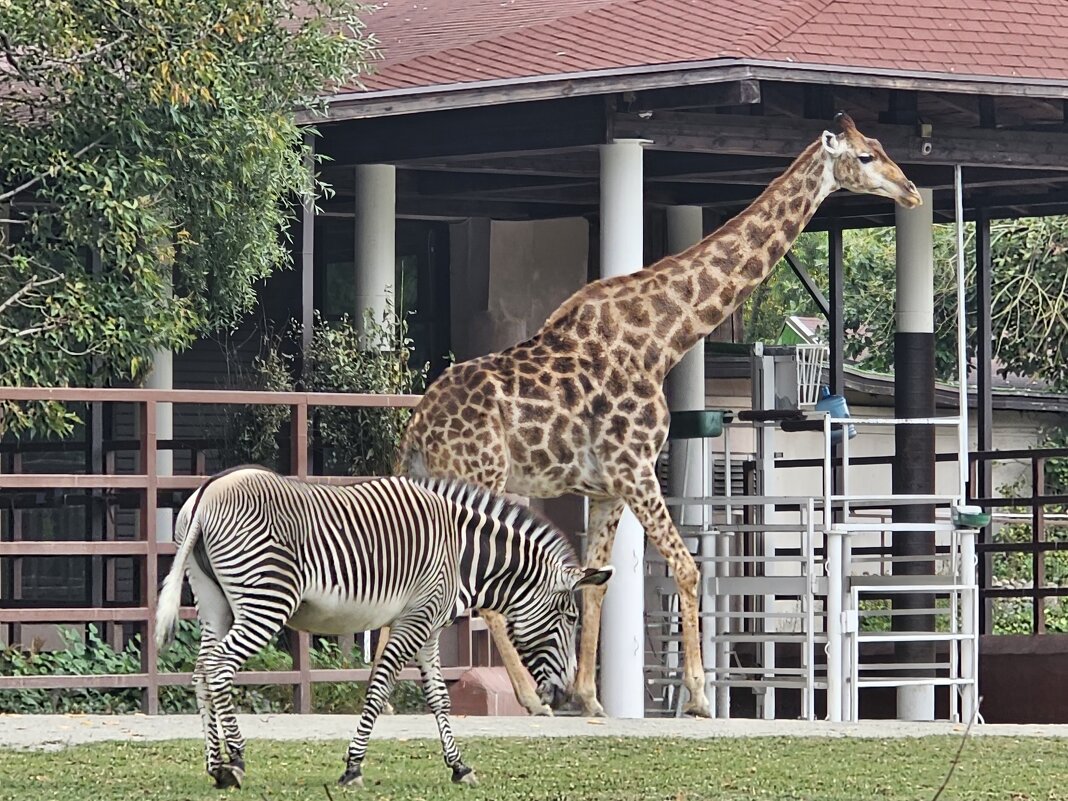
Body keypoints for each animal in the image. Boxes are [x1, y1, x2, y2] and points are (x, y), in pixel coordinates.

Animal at [154, 467, 615, 786]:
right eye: (570, 618)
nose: (563, 693)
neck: (461, 554)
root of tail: (208, 493)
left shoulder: (430, 628)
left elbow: (439, 699)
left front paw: (459, 766)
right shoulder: (415, 619)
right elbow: (378, 690)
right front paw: (353, 767)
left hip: (216, 603)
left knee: (201, 671)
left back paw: (215, 766)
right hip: (266, 600)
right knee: (220, 668)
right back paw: (236, 761)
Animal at [388, 111, 922, 713]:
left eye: (881, 145)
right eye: (866, 156)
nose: (912, 191)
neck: (663, 338)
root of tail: (416, 429)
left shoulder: (607, 487)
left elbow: (598, 582)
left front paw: (591, 699)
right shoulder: (635, 467)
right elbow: (686, 567)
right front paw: (698, 696)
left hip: (442, 483)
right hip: (483, 475)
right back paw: (526, 695)